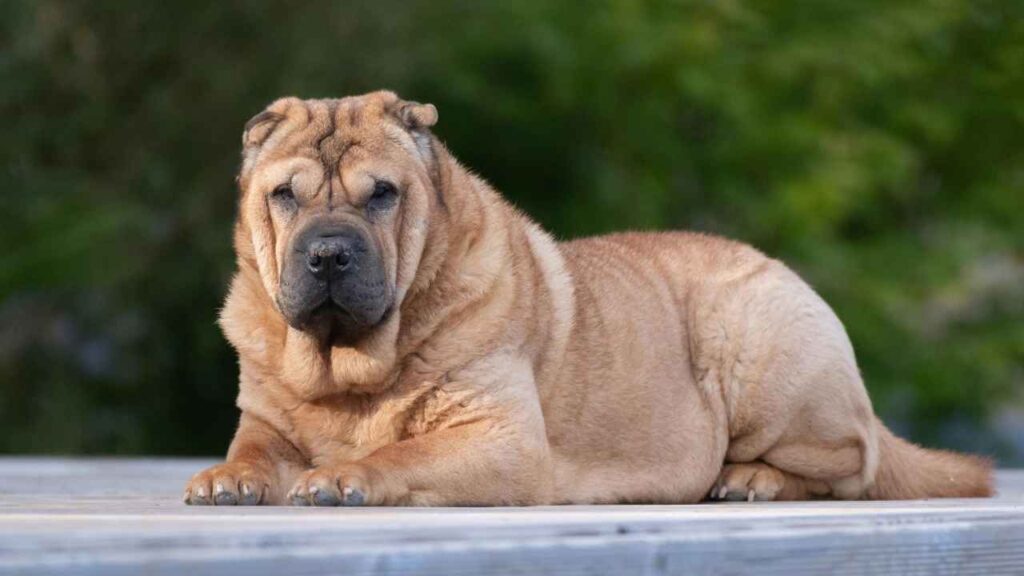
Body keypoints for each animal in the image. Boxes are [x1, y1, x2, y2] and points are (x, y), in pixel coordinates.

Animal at [184, 88, 991, 502]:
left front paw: (344, 475)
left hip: (763, 348)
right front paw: (227, 479)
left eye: (382, 194)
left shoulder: (499, 439)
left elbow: (402, 454)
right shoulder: (267, 422)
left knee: (849, 466)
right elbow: (253, 450)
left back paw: (749, 479)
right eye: (284, 196)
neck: (348, 368)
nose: (327, 252)